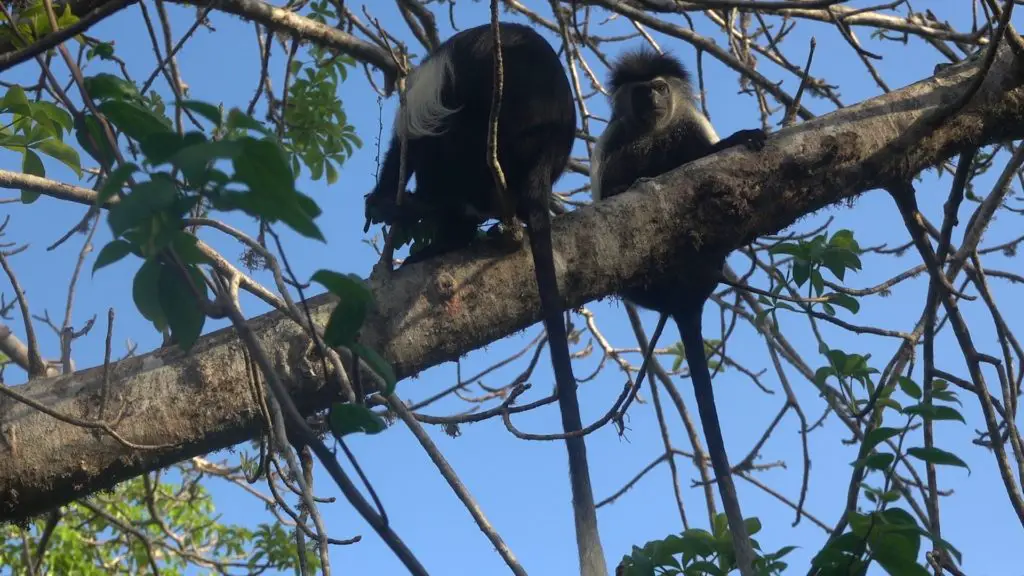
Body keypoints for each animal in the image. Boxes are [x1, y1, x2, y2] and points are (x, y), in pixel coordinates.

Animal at [589, 45, 765, 573]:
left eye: (660, 87)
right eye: (640, 91)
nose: (651, 99)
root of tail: (688, 297)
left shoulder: (688, 124)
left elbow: (701, 147)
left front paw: (740, 138)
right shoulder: (615, 139)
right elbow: (612, 178)